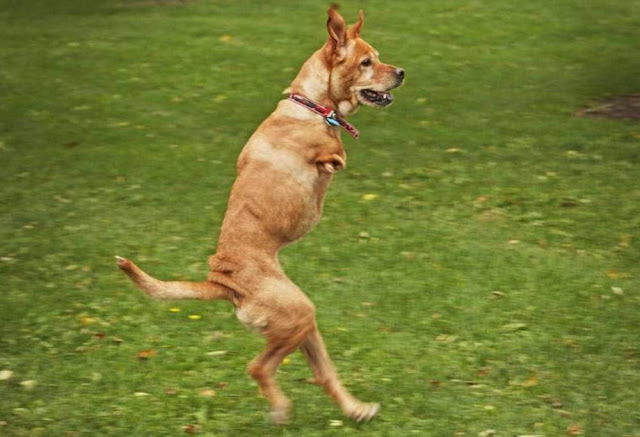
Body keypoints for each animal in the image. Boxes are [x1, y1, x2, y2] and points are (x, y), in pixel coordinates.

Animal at [116, 5, 404, 422]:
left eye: (378, 57)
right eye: (367, 62)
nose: (401, 72)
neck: (310, 105)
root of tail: (221, 280)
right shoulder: (326, 148)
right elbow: (336, 153)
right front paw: (334, 153)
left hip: (305, 323)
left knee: (323, 376)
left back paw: (355, 409)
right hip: (298, 315)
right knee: (258, 367)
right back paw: (282, 409)